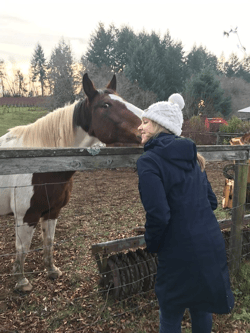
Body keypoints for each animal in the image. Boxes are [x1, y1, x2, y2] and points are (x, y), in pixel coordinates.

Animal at [0, 73, 143, 290]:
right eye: (106, 105)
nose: (148, 123)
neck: (40, 159)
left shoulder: (52, 211)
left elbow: (49, 241)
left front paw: (52, 270)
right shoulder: (26, 216)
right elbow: (22, 248)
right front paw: (21, 281)